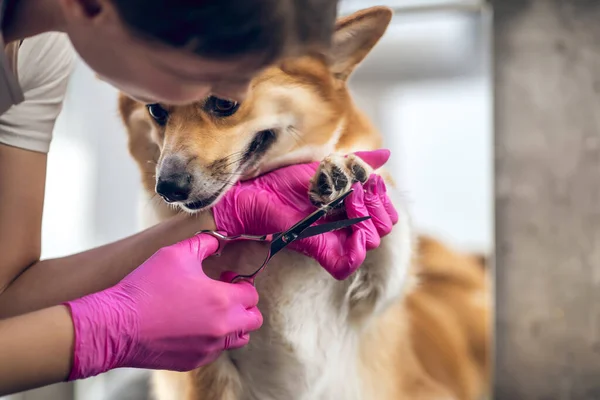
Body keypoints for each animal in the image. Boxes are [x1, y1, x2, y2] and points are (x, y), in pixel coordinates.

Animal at [117, 4, 488, 398]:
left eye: (224, 103)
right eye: (156, 111)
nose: (168, 187)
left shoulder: (374, 302)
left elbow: (391, 242)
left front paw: (349, 176)